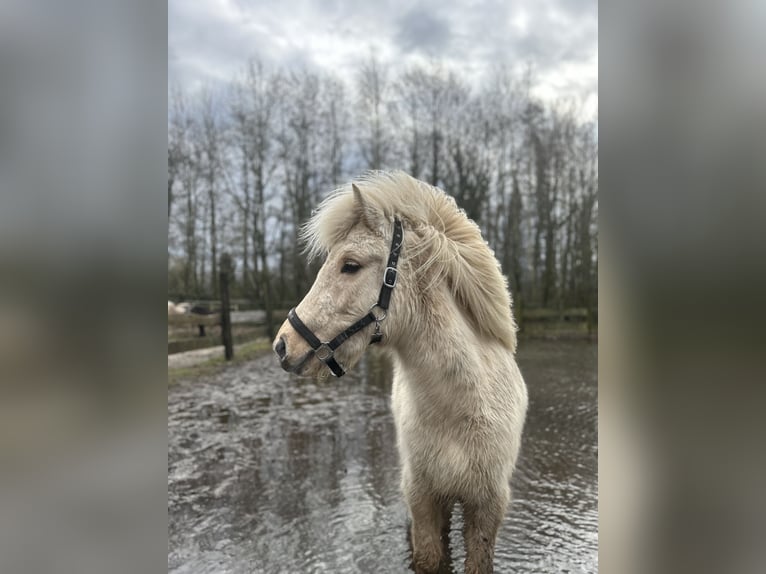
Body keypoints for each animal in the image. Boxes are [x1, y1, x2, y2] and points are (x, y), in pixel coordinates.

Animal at [273, 171, 528, 574]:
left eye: (350, 265)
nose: (283, 346)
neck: (461, 411)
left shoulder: (486, 508)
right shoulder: (423, 500)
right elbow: (428, 557)